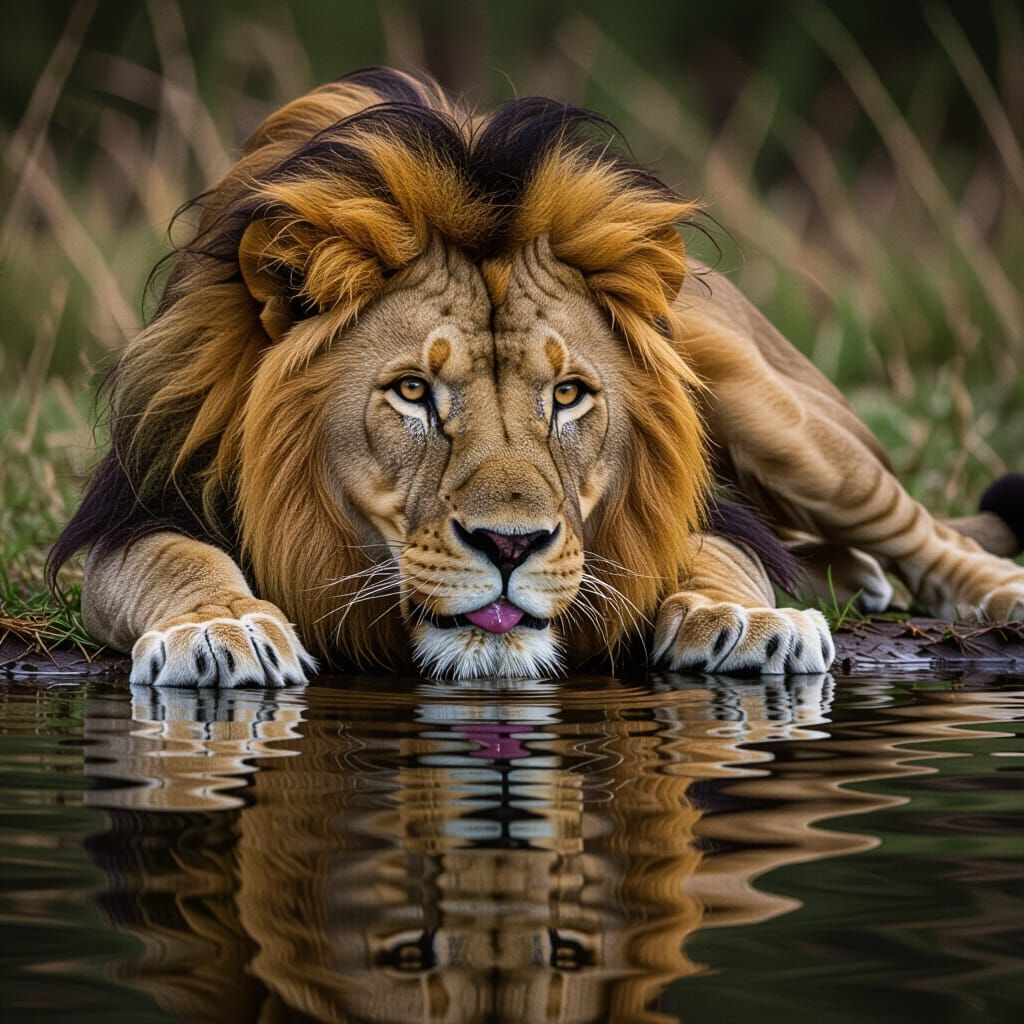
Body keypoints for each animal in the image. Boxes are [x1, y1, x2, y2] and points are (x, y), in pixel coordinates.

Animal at [49, 66, 1024, 685]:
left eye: (568, 395)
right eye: (414, 392)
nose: (511, 547)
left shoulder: (712, 509)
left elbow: (717, 554)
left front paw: (748, 620)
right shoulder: (141, 504)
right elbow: (173, 561)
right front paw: (220, 629)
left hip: (785, 420)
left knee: (925, 530)